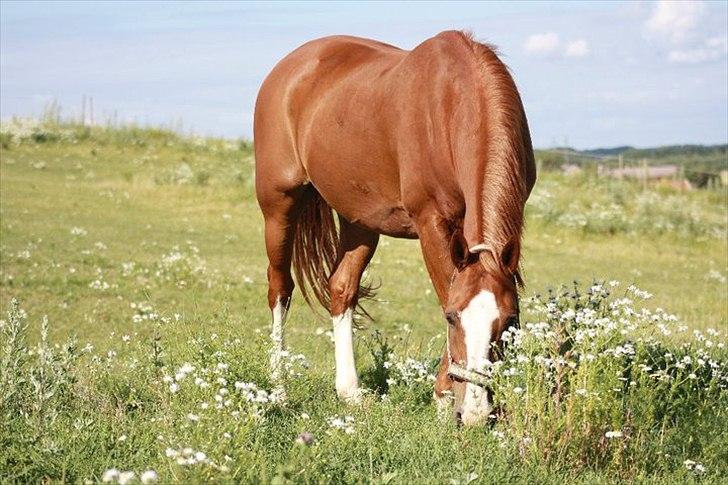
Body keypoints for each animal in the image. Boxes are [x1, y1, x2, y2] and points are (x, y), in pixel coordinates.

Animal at [255, 30, 536, 424]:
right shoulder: (431, 222)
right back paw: (279, 390)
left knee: (341, 288)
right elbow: (444, 290)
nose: (476, 414)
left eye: (510, 320)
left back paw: (350, 392)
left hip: (359, 220)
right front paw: (443, 397)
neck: (453, 103)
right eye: (452, 319)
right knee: (280, 288)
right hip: (279, 205)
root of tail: (288, 68)